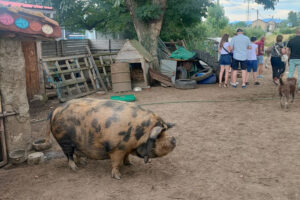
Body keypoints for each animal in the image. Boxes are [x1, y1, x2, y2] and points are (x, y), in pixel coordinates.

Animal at [46, 98, 177, 180]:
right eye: (158, 136)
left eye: (165, 131)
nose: (174, 138)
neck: (138, 135)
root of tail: (54, 110)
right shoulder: (116, 148)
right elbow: (116, 162)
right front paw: (118, 177)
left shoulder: (126, 148)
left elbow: (126, 156)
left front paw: (130, 164)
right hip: (64, 140)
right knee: (69, 155)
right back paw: (75, 169)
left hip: (75, 142)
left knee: (76, 152)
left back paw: (83, 163)